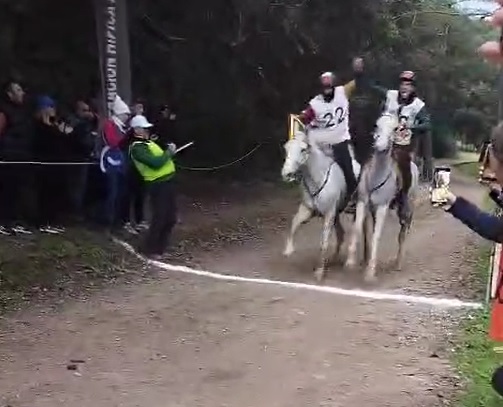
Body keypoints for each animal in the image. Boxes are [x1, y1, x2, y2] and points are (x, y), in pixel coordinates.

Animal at [282, 129, 360, 282]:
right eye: (286, 148)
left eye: (303, 149)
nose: (287, 174)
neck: (318, 178)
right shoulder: (307, 210)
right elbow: (294, 223)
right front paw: (288, 250)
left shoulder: (329, 214)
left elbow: (323, 243)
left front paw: (319, 272)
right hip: (336, 214)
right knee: (341, 234)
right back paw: (333, 259)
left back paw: (350, 262)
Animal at [344, 113, 420, 282]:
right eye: (376, 125)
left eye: (395, 128)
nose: (378, 144)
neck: (376, 176)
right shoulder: (362, 202)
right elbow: (357, 228)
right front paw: (350, 262)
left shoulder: (382, 207)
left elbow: (377, 235)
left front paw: (370, 272)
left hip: (407, 208)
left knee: (403, 233)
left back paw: (398, 263)